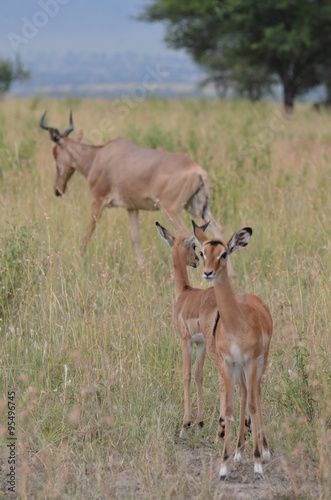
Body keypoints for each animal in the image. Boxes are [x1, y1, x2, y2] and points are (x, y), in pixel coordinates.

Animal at [39, 112, 233, 270]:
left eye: (55, 153)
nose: (57, 189)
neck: (99, 156)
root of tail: (198, 171)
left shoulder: (98, 201)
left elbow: (88, 232)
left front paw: (77, 261)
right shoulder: (132, 208)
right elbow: (135, 237)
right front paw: (140, 267)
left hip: (171, 209)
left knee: (187, 235)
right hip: (198, 208)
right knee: (217, 231)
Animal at [157, 221, 250, 440]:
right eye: (196, 248)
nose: (198, 262)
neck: (184, 294)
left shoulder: (186, 341)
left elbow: (186, 375)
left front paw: (185, 423)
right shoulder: (200, 344)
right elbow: (199, 375)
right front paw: (199, 422)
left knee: (224, 378)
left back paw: (221, 430)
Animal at [193, 224, 274, 480]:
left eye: (224, 254)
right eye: (202, 252)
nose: (208, 273)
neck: (236, 323)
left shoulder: (250, 360)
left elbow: (253, 405)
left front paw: (257, 463)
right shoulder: (229, 362)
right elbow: (229, 408)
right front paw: (224, 465)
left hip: (261, 361)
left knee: (256, 394)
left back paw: (265, 450)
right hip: (239, 369)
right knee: (244, 394)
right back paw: (239, 451)